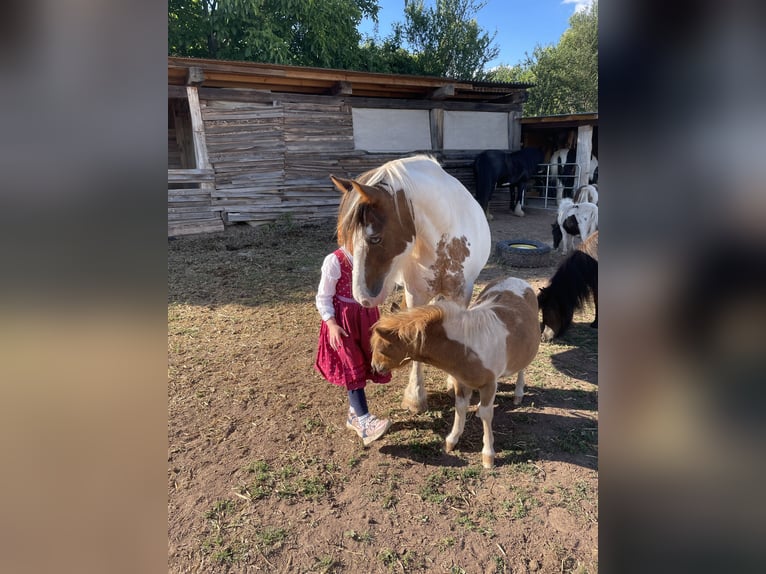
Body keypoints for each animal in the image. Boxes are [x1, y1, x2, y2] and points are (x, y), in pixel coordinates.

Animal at [330, 153, 492, 414]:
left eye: (375, 238)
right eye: (348, 241)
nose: (362, 298)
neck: (443, 236)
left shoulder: (461, 294)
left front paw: (453, 382)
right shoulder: (415, 294)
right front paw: (415, 397)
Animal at [370, 276, 540, 470]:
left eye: (382, 348)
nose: (375, 366)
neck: (467, 347)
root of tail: (516, 278)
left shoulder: (489, 384)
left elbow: (487, 415)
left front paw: (488, 456)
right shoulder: (461, 382)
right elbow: (460, 407)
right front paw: (452, 440)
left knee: (521, 369)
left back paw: (518, 393)